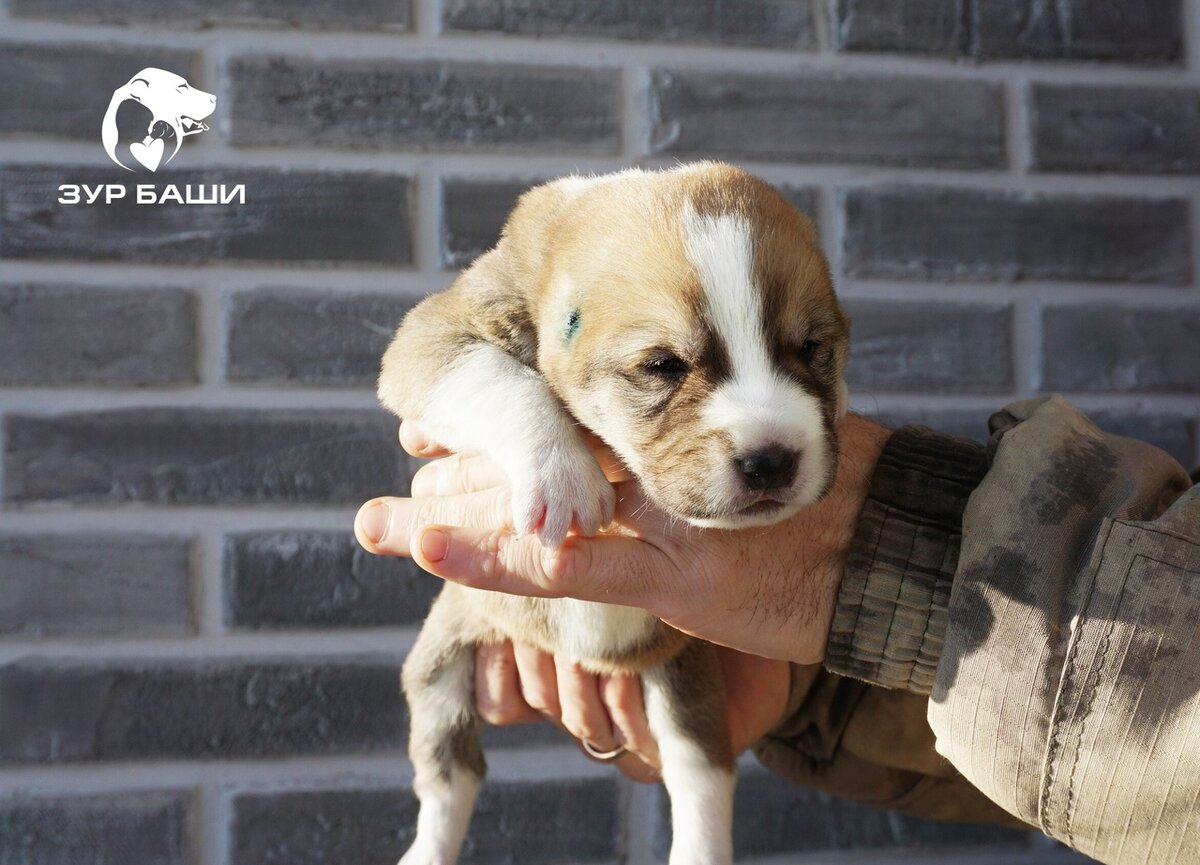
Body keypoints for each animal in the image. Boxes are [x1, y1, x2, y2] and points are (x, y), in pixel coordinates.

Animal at [379, 161, 849, 863]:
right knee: (449, 777)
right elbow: (495, 377)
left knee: (700, 775)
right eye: (663, 365)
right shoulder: (441, 329)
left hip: (684, 681)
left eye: (813, 347)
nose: (772, 461)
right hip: (441, 661)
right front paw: (563, 474)